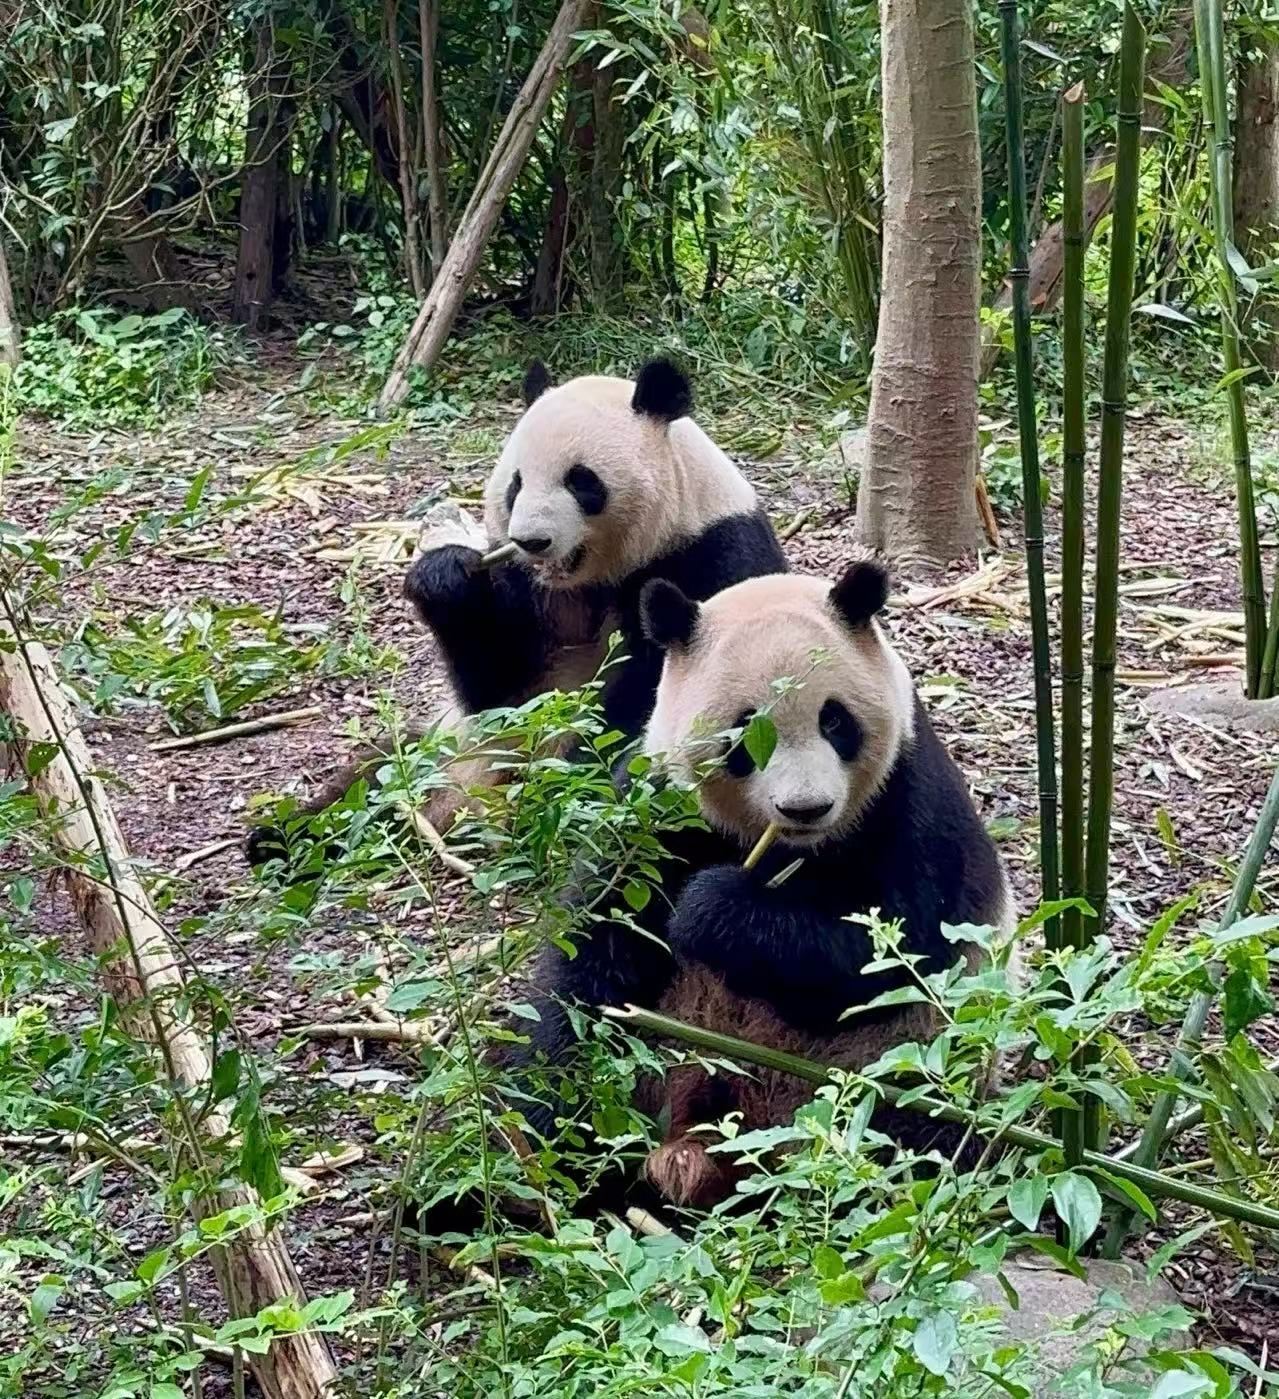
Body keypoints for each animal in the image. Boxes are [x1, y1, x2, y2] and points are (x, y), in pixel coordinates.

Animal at [246, 356, 786, 865]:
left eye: (582, 482)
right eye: (516, 484)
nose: (532, 540)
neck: (591, 579)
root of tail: (453, 806)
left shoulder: (708, 555)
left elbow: (656, 697)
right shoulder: (524, 592)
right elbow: (499, 690)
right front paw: (445, 576)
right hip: (439, 745)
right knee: (373, 774)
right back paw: (282, 837)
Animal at [509, 558, 1015, 1208]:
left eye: (834, 719)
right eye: (746, 732)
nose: (806, 808)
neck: (789, 848)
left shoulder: (909, 799)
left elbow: (901, 952)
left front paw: (712, 908)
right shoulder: (658, 811)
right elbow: (598, 951)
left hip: (894, 1069)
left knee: (913, 1132)